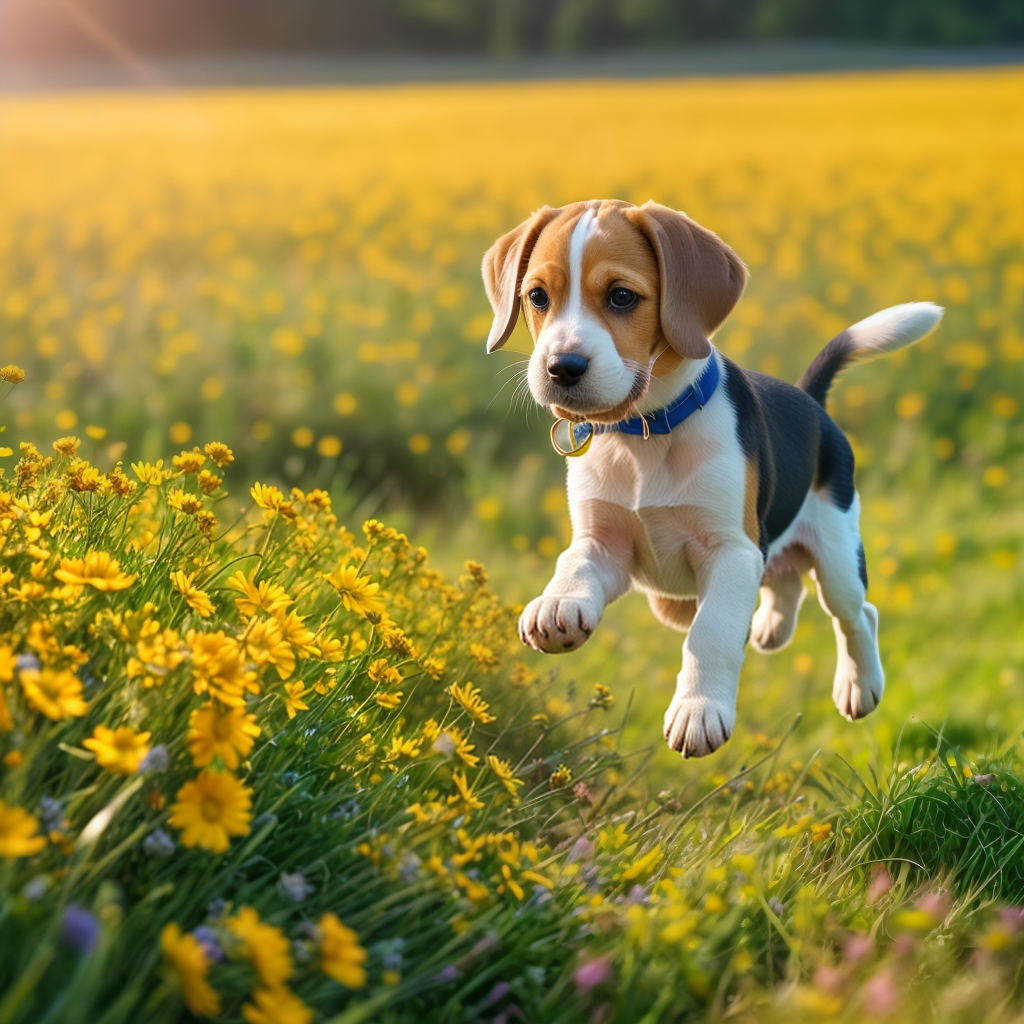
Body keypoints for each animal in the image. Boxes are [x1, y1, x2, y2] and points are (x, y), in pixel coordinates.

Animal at [481, 201, 942, 761]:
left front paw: (699, 711)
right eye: (537, 297)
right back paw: (771, 625)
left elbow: (712, 632)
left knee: (857, 614)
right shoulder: (606, 544)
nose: (561, 367)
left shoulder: (732, 551)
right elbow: (575, 564)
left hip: (836, 554)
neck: (645, 432)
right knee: (784, 577)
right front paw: (558, 602)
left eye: (621, 296)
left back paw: (860, 684)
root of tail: (811, 400)